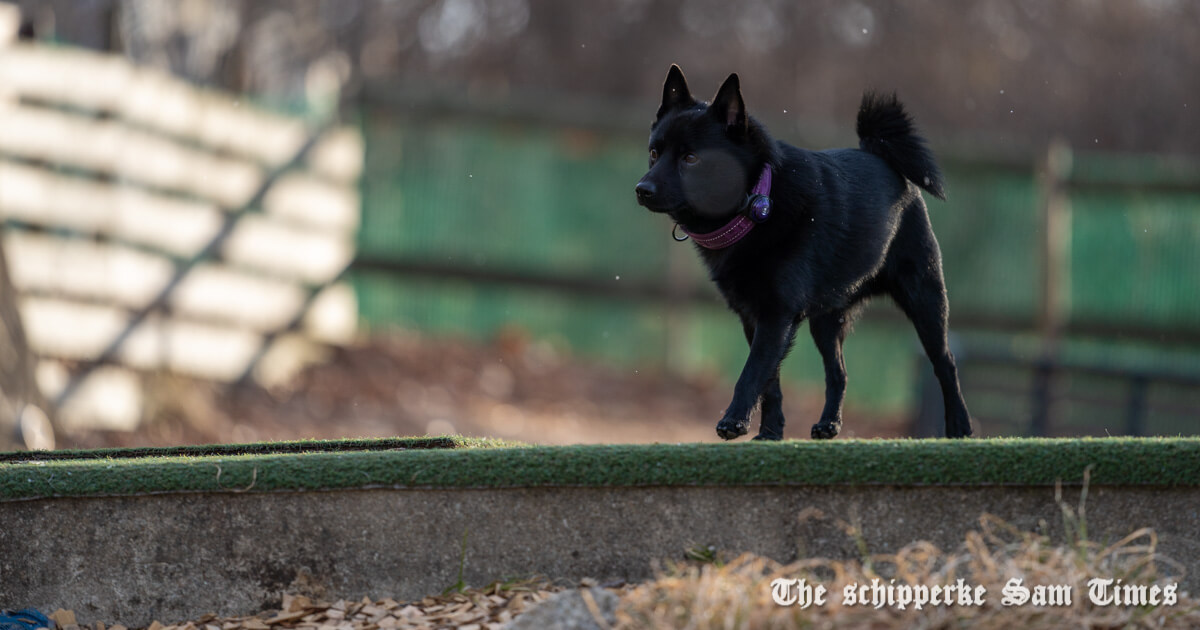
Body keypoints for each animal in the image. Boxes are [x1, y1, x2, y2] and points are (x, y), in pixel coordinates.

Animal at [633, 63, 969, 436]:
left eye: (690, 158)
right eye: (654, 153)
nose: (642, 189)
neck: (757, 203)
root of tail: (880, 156)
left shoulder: (775, 315)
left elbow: (752, 372)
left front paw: (734, 421)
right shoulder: (754, 318)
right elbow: (770, 382)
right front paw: (769, 434)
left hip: (925, 299)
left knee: (946, 363)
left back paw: (959, 425)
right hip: (827, 320)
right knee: (839, 372)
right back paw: (829, 424)